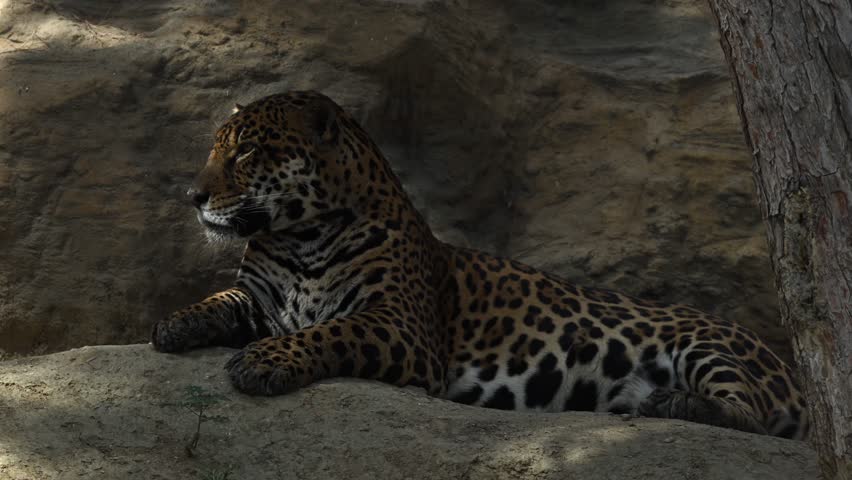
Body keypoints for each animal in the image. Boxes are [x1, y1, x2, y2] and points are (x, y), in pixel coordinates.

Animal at [152, 90, 808, 440]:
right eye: (217, 148)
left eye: (247, 152)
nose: (192, 195)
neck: (298, 236)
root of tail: (791, 368)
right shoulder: (260, 299)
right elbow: (219, 301)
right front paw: (174, 324)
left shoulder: (400, 327)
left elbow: (329, 331)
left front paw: (264, 361)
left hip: (710, 346)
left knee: (751, 415)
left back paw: (676, 405)